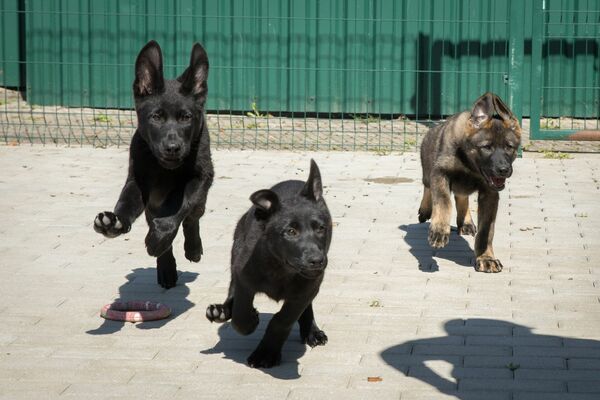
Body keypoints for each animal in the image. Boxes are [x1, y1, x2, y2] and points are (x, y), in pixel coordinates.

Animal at [92, 40, 214, 288]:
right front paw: (114, 222)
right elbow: (127, 202)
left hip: (202, 195)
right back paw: (166, 267)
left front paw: (158, 240)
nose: (173, 147)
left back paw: (192, 249)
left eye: (186, 118)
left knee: (192, 218)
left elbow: (178, 207)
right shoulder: (138, 180)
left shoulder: (200, 177)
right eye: (156, 117)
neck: (164, 168)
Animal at [207, 159, 330, 368]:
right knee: (232, 290)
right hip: (236, 250)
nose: (317, 260)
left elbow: (282, 320)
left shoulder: (307, 288)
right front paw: (250, 321)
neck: (281, 268)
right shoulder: (244, 278)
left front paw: (266, 353)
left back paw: (311, 331)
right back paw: (221, 311)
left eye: (321, 228)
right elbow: (240, 315)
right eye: (290, 232)